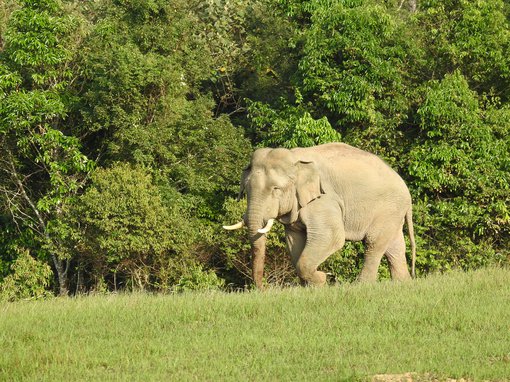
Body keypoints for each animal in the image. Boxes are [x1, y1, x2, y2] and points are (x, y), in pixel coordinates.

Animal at [225, 142, 416, 288]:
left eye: (276, 189)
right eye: (246, 189)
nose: (262, 290)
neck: (295, 159)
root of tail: (406, 190)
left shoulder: (324, 200)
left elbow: (331, 237)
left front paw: (323, 279)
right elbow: (294, 240)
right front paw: (309, 287)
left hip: (387, 209)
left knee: (373, 244)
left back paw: (362, 285)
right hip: (393, 213)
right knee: (394, 247)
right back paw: (403, 283)